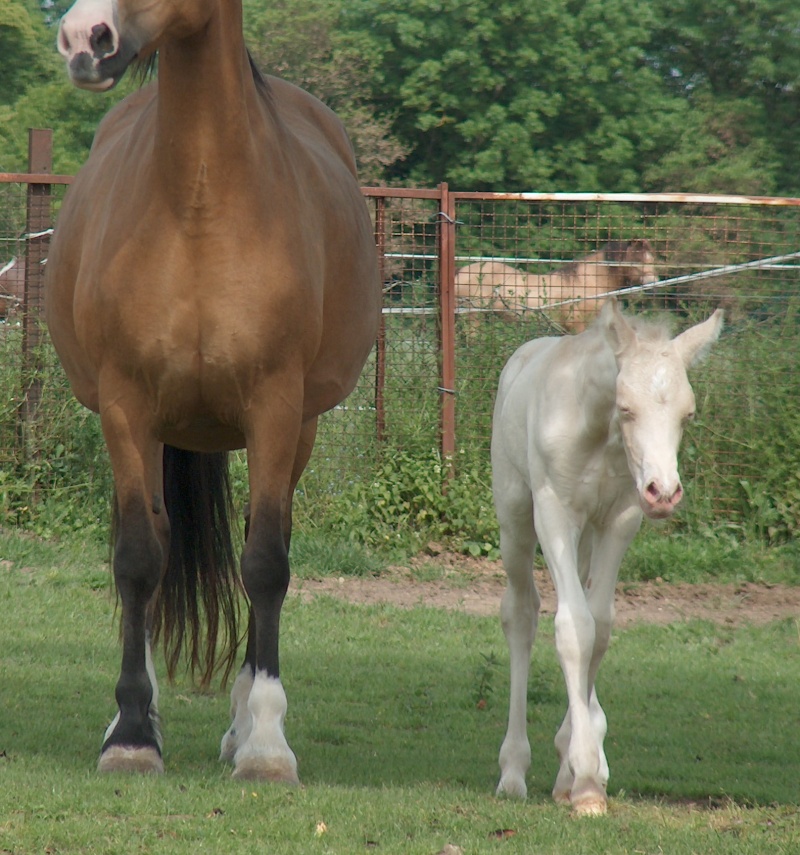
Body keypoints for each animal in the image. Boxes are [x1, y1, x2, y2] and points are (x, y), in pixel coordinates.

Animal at [44, 0, 382, 784]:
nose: (85, 39)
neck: (200, 206)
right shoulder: (126, 405)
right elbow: (138, 558)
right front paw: (131, 733)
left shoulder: (275, 408)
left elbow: (266, 565)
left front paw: (265, 744)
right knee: (156, 545)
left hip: (296, 431)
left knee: (260, 546)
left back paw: (240, 723)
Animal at [456, 241, 656, 338]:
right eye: (636, 260)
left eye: (652, 260)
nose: (653, 285)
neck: (586, 282)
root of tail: (461, 272)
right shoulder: (577, 327)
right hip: (472, 318)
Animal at [494, 300, 724, 816]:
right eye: (626, 408)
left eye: (688, 414)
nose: (663, 492)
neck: (599, 432)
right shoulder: (554, 511)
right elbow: (572, 626)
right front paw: (583, 780)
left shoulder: (621, 518)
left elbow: (598, 626)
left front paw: (578, 770)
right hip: (515, 515)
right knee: (522, 612)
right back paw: (513, 770)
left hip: (586, 537)